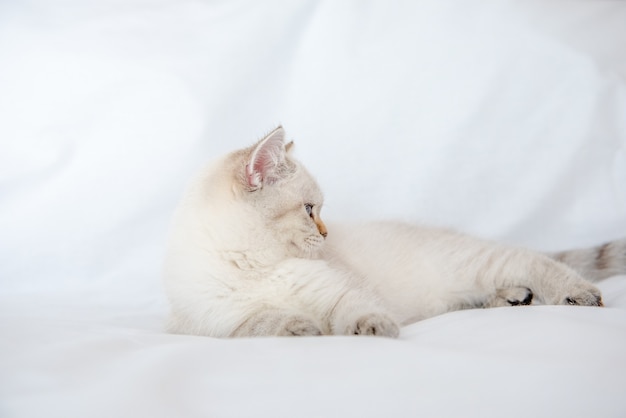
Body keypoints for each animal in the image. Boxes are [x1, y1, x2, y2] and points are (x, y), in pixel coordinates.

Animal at [163, 125, 624, 338]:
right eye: (309, 211)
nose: (326, 235)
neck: (260, 264)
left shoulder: (341, 291)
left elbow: (357, 308)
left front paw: (373, 328)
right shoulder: (210, 323)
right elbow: (263, 320)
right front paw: (302, 327)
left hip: (475, 263)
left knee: (534, 261)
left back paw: (575, 294)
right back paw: (513, 298)